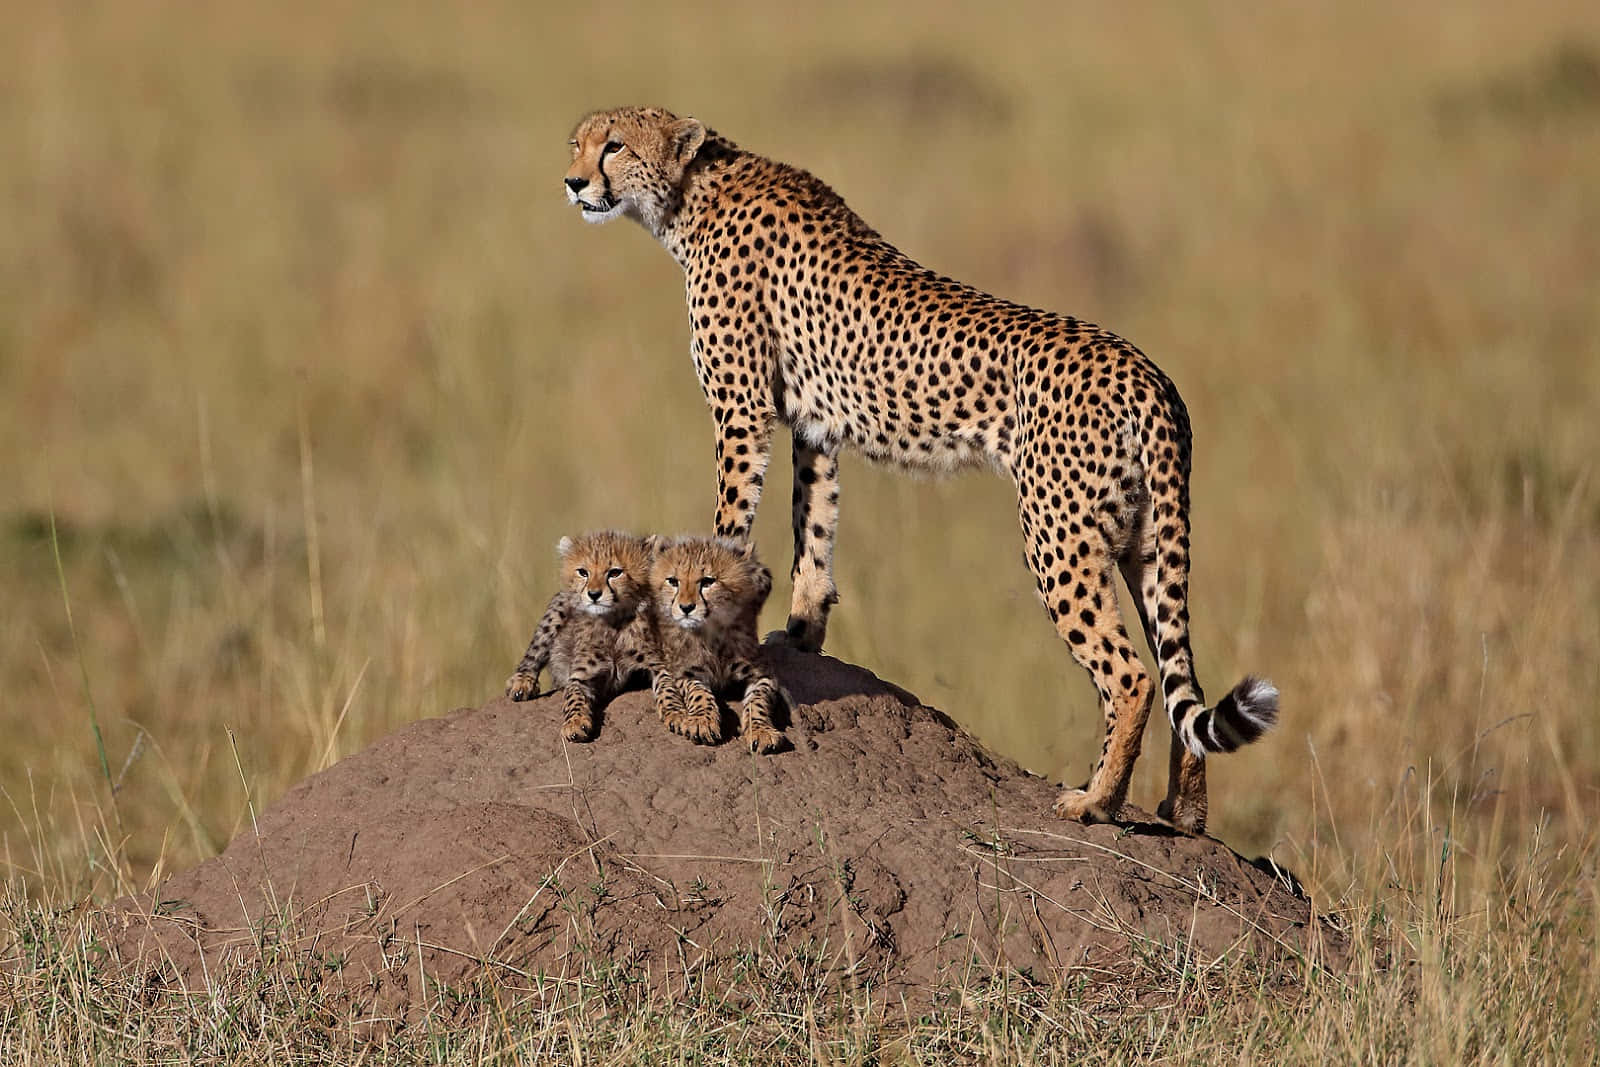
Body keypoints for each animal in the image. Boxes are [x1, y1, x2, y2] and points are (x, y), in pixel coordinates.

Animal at [505, 529, 656, 742]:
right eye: (583, 572)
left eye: (615, 572)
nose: (594, 594)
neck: (612, 623)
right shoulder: (580, 676)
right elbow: (574, 698)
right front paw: (575, 724)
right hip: (558, 608)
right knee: (534, 652)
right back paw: (521, 683)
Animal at [645, 536, 787, 755]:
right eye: (673, 581)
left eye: (707, 581)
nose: (686, 608)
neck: (712, 632)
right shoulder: (685, 672)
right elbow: (698, 693)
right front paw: (701, 722)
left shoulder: (763, 673)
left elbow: (758, 701)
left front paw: (760, 730)